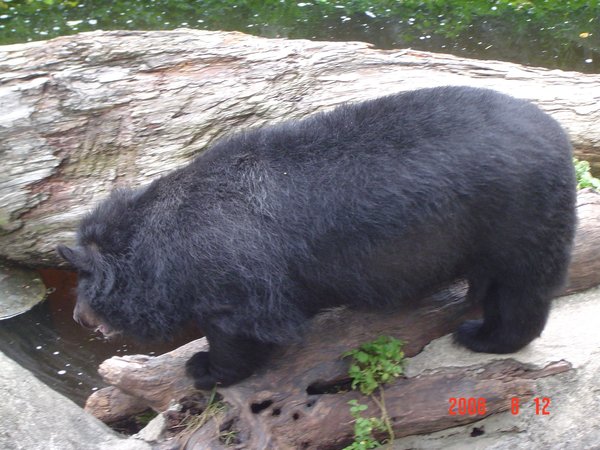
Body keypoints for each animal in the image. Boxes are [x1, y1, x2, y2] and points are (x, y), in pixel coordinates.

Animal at [57, 86, 576, 388]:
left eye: (85, 287)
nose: (80, 317)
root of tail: (559, 136)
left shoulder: (233, 276)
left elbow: (238, 331)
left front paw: (204, 369)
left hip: (520, 218)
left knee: (521, 289)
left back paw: (485, 337)